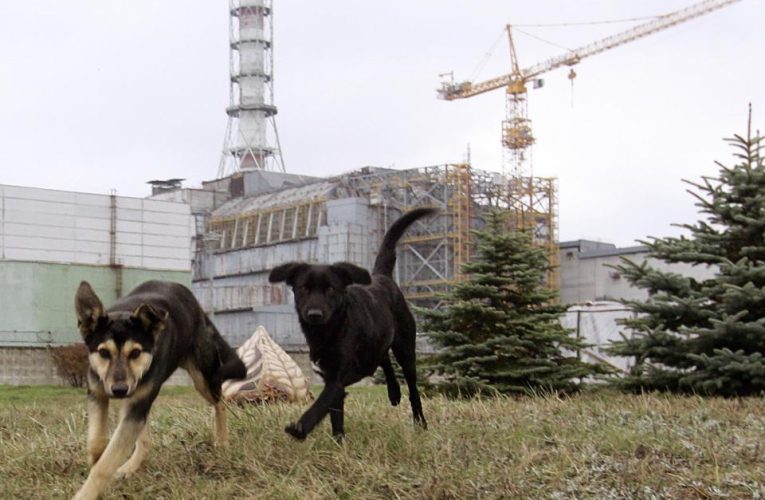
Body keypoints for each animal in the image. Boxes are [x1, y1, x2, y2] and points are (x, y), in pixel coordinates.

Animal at [72, 282, 245, 500]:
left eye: (135, 353)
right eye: (103, 352)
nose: (119, 390)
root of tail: (199, 310)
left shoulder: (136, 403)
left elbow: (106, 463)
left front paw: (87, 492)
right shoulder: (98, 393)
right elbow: (97, 442)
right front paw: (98, 463)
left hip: (203, 378)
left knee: (220, 403)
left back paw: (221, 441)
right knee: (145, 440)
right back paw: (130, 466)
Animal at [268, 206, 436, 438]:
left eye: (331, 289)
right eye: (303, 289)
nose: (314, 314)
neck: (329, 332)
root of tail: (382, 277)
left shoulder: (337, 378)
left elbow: (321, 404)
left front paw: (301, 427)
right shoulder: (330, 377)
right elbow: (335, 416)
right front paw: (339, 440)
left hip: (405, 348)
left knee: (412, 388)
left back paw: (420, 422)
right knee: (383, 358)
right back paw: (394, 392)